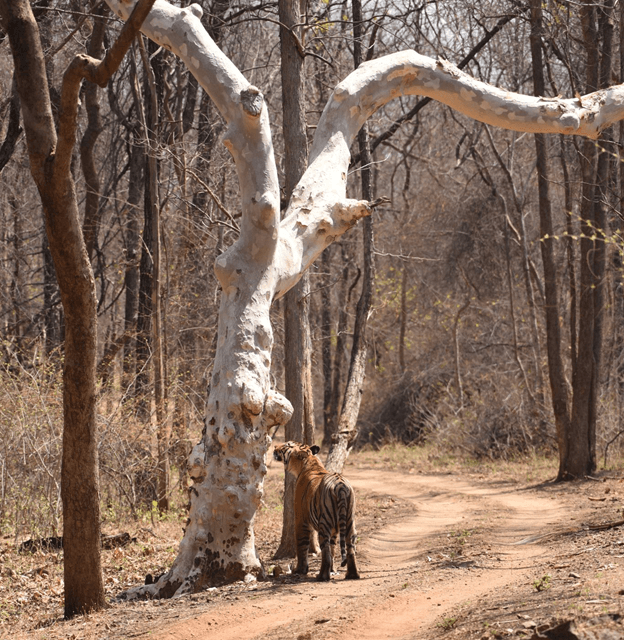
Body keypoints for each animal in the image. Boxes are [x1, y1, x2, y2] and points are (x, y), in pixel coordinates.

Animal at [272, 442, 360, 584]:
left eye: (286, 445)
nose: (275, 446)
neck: (308, 462)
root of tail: (340, 485)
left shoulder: (301, 520)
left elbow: (302, 546)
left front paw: (300, 569)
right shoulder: (334, 530)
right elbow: (333, 548)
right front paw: (333, 569)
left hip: (324, 524)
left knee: (325, 552)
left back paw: (322, 576)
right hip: (350, 521)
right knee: (350, 549)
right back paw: (352, 575)